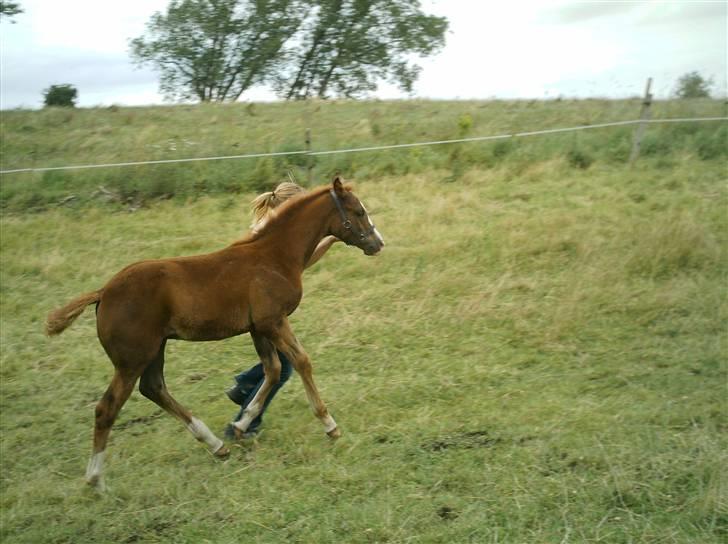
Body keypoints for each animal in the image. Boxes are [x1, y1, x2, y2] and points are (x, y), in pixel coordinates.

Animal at [47, 178, 384, 488]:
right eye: (358, 211)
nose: (377, 243)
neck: (274, 255)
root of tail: (103, 293)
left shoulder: (257, 328)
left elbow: (273, 370)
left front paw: (240, 425)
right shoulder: (273, 321)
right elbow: (301, 361)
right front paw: (330, 425)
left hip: (154, 349)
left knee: (154, 388)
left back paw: (216, 445)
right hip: (132, 359)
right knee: (108, 407)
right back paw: (95, 480)